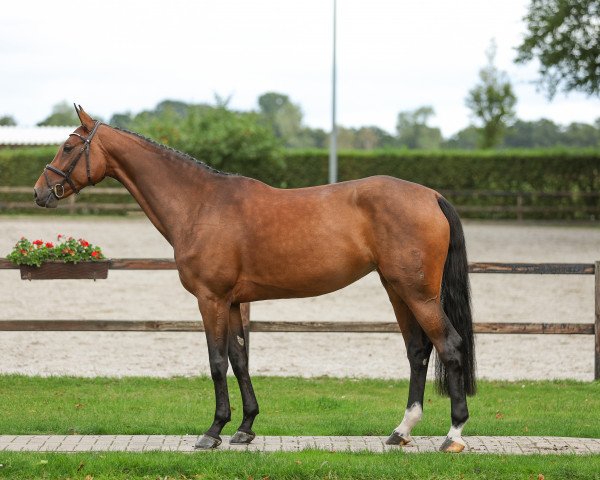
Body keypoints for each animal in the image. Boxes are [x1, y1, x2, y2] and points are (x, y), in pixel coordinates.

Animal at [32, 106, 476, 454]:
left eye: (68, 147)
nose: (40, 192)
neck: (200, 204)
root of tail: (431, 195)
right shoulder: (232, 302)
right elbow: (239, 359)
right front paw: (244, 428)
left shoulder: (210, 299)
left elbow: (215, 362)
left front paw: (212, 431)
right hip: (397, 290)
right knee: (418, 352)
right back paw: (401, 431)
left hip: (418, 294)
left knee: (450, 346)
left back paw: (453, 435)